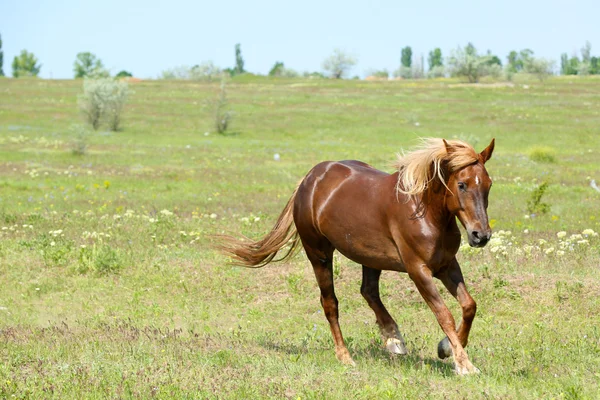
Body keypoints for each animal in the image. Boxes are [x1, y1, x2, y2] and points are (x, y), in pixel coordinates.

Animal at [218, 138, 494, 376]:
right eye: (462, 184)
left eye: (488, 184)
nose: (480, 235)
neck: (426, 211)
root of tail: (310, 178)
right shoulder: (419, 270)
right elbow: (443, 314)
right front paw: (464, 365)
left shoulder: (447, 265)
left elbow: (469, 306)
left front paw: (446, 348)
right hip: (318, 253)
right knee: (330, 303)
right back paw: (345, 357)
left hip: (370, 257)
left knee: (368, 291)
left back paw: (394, 339)